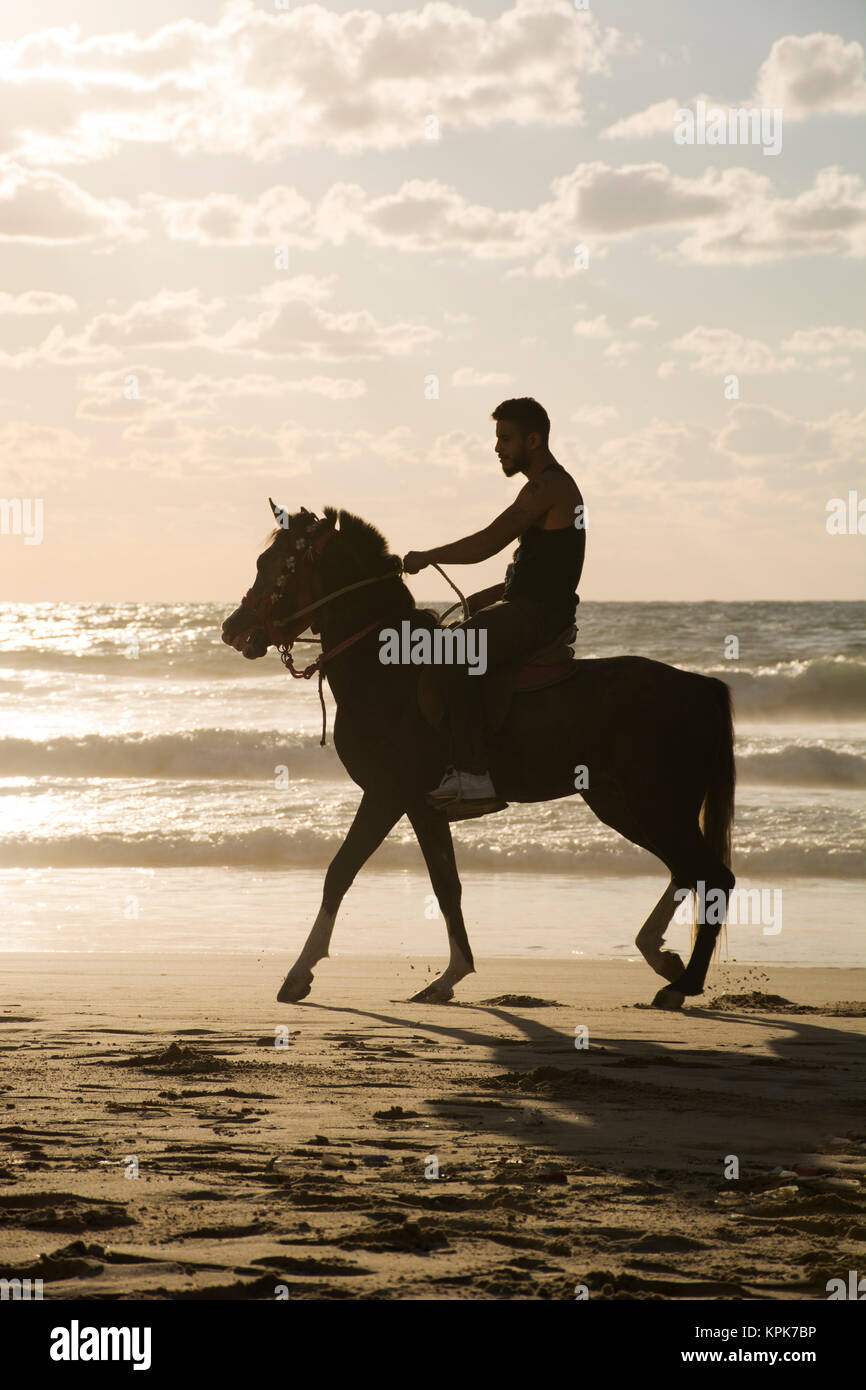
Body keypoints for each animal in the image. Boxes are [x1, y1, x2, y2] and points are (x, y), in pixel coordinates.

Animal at [221, 501, 736, 1011]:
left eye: (273, 565)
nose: (232, 628)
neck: (387, 670)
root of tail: (699, 686)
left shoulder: (391, 795)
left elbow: (343, 872)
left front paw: (299, 974)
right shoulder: (422, 806)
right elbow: (446, 885)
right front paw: (449, 976)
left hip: (656, 804)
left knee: (713, 876)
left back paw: (682, 983)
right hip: (621, 803)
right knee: (687, 870)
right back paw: (660, 957)